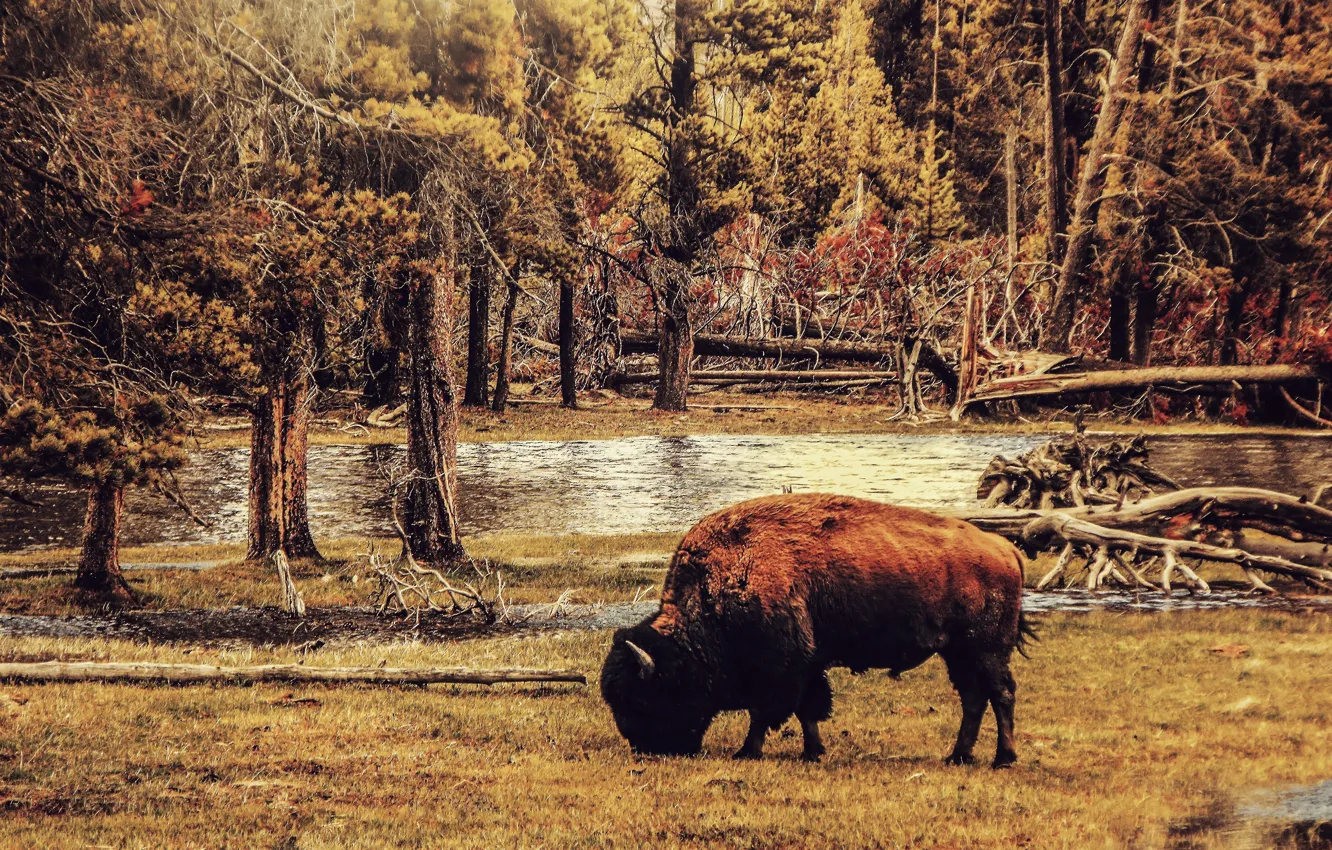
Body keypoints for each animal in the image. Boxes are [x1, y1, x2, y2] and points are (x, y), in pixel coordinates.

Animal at [601, 493, 1033, 768]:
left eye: (642, 699)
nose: (647, 748)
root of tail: (1006, 548)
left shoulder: (781, 667)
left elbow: (769, 711)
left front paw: (748, 751)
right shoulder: (806, 664)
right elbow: (807, 709)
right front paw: (813, 751)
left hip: (985, 649)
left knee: (1001, 694)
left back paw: (1003, 759)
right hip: (957, 651)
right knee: (974, 698)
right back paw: (958, 756)